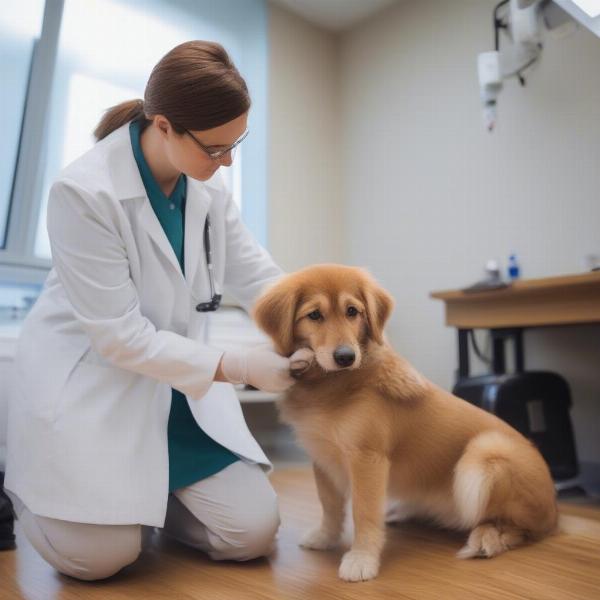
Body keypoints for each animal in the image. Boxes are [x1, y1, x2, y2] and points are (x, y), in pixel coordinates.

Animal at [253, 264, 556, 580]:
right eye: (314, 315)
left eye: (352, 311)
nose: (346, 357)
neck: (331, 383)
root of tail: (555, 509)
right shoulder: (322, 456)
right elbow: (330, 505)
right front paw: (326, 537)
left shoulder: (367, 458)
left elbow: (364, 512)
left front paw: (362, 558)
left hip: (485, 453)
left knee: (522, 529)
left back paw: (488, 538)